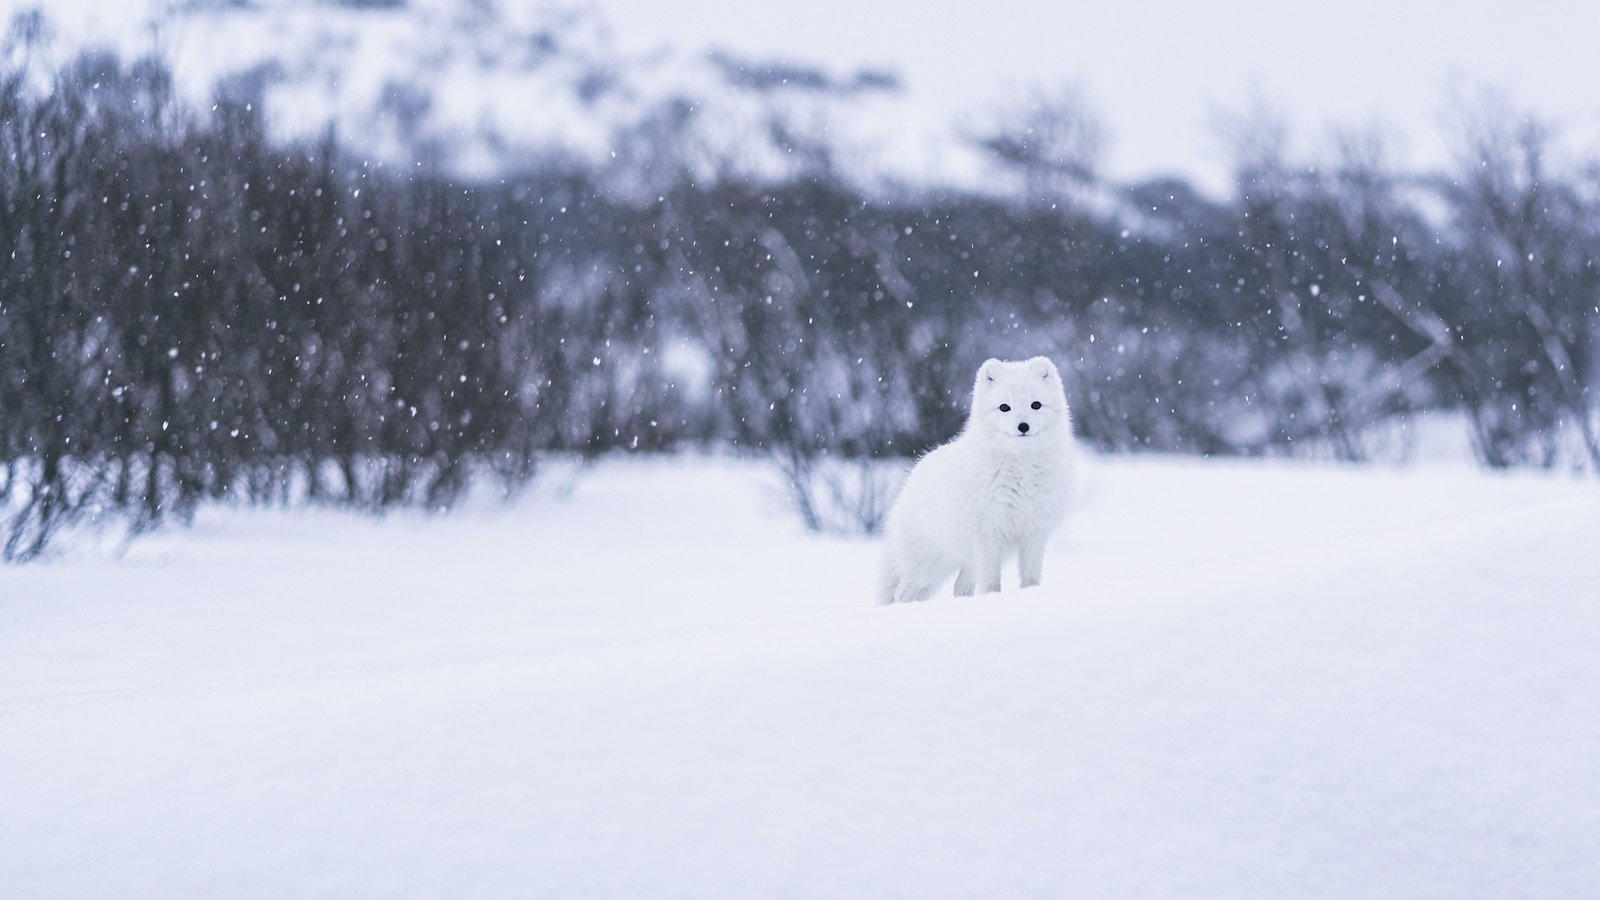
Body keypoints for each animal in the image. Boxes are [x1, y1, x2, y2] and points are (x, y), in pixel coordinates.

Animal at [876, 355, 1075, 602]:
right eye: (1004, 407)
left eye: (1035, 405)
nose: (1023, 426)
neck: (1020, 471)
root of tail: (911, 477)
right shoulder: (987, 534)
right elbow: (990, 582)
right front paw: (992, 599)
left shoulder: (1034, 532)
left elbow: (1030, 577)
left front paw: (1030, 594)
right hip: (927, 566)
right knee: (903, 592)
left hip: (967, 563)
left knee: (960, 587)